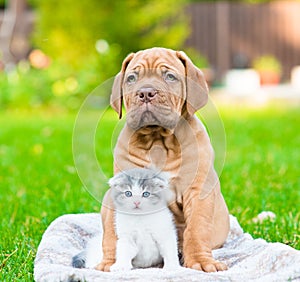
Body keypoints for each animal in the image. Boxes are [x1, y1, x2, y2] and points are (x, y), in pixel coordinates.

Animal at [97, 47, 229, 272]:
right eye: (131, 78)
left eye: (170, 77)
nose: (145, 93)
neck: (158, 140)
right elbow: (114, 232)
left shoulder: (198, 191)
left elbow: (197, 229)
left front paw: (201, 262)